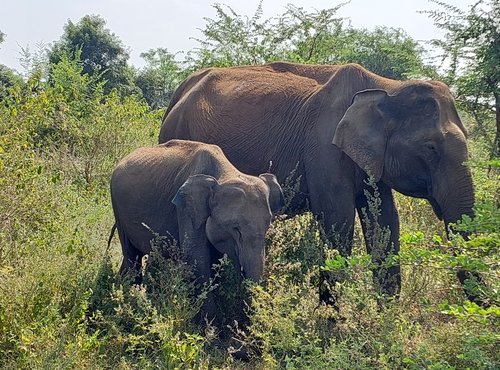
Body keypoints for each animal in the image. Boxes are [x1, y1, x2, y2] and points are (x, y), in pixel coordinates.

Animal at [110, 140, 284, 320]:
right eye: (236, 229)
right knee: (132, 257)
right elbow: (196, 256)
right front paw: (210, 323)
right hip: (118, 208)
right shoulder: (186, 209)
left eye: (268, 226)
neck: (224, 174)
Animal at [158, 62, 474, 300]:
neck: (388, 86)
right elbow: (338, 222)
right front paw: (332, 326)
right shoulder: (324, 149)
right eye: (430, 148)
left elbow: (383, 221)